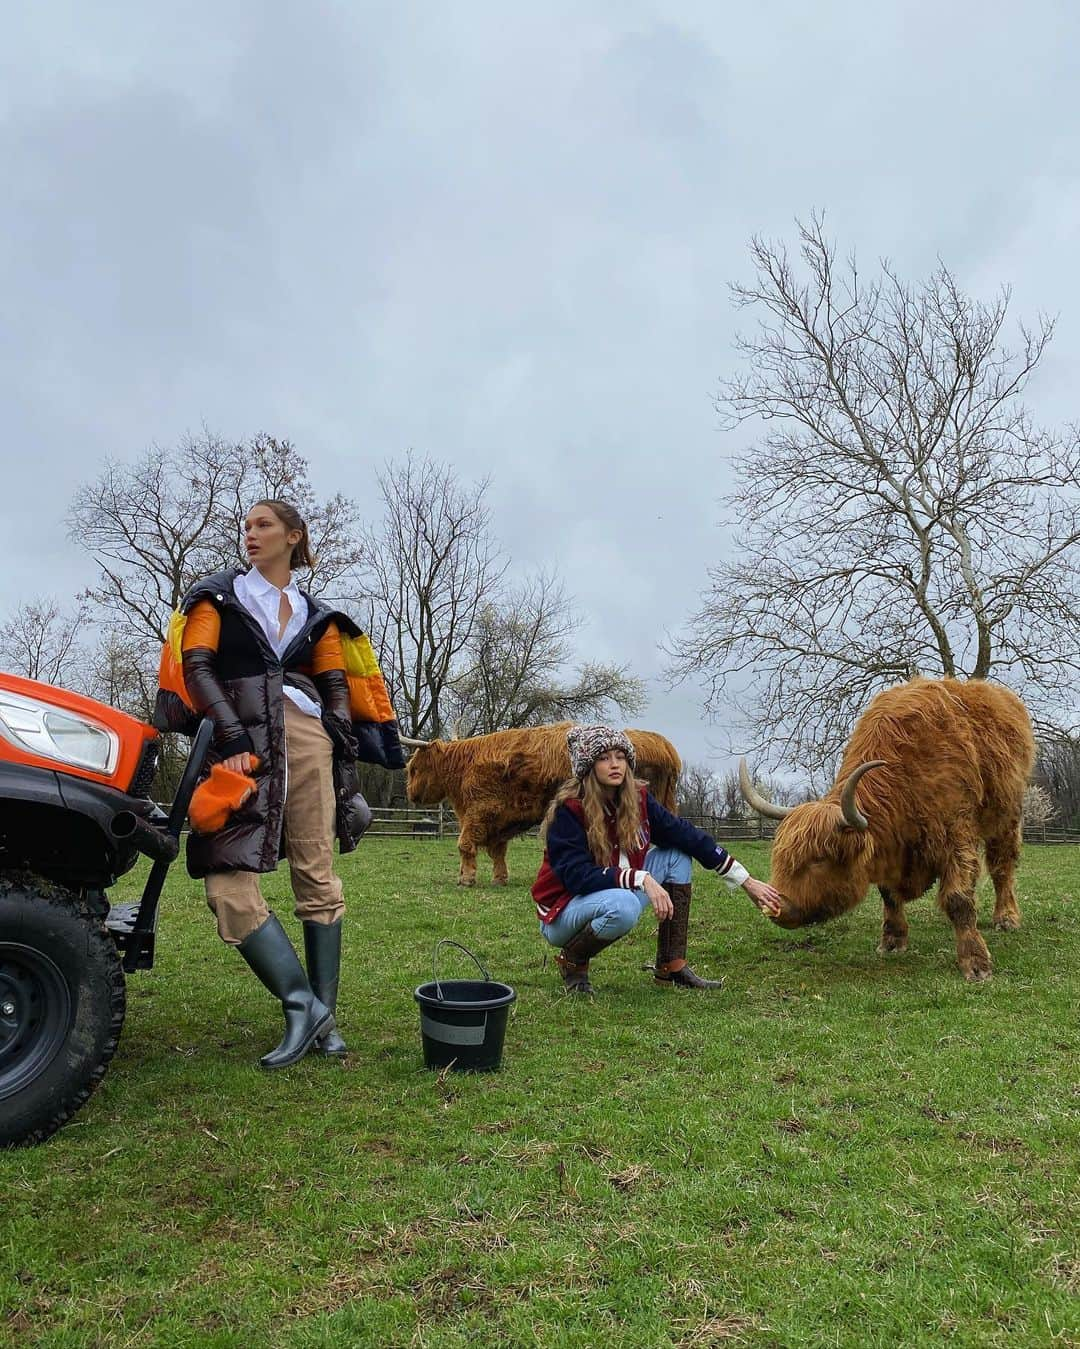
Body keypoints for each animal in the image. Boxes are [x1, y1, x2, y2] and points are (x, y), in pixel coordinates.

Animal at [399, 728, 679, 884]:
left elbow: (465, 845)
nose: (410, 793)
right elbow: (498, 852)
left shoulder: (480, 812)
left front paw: (466, 878)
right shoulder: (501, 820)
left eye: (413, 768)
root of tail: (666, 747)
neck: (464, 766)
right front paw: (499, 878)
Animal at [738, 674, 1030, 982]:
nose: (775, 907)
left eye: (818, 860)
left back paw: (1006, 918)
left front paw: (975, 962)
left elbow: (958, 899)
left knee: (1002, 867)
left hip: (1006, 818)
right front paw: (892, 941)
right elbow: (889, 896)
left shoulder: (957, 838)